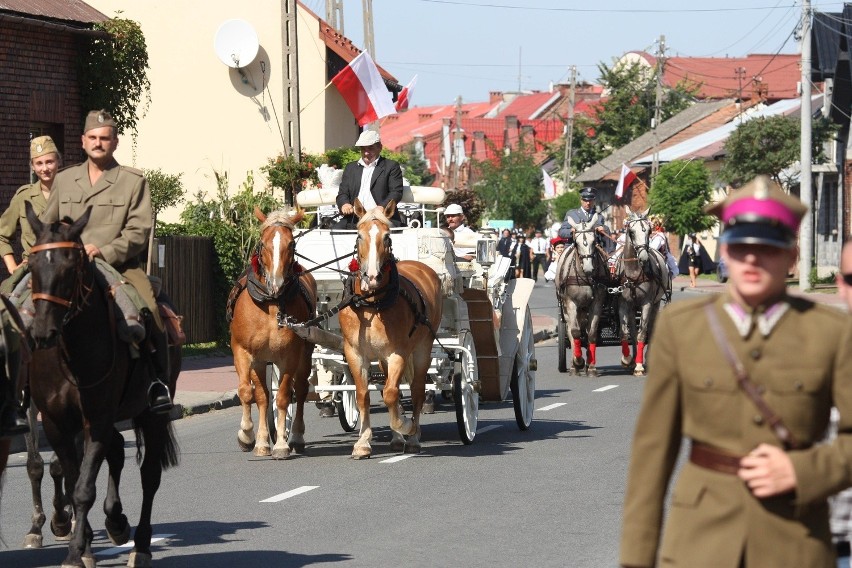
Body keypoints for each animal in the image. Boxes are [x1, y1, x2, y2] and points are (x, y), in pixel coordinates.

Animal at [25, 204, 181, 568]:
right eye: (32, 265)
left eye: (71, 267)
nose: (42, 332)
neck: (70, 350)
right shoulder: (54, 422)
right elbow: (70, 479)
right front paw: (81, 546)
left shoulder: (95, 418)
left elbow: (84, 488)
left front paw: (73, 553)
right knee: (117, 453)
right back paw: (116, 522)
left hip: (152, 414)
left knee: (149, 475)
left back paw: (140, 545)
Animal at [230, 206, 316, 460]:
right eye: (263, 242)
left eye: (291, 243)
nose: (276, 282)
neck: (270, 302)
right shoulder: (244, 352)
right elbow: (250, 393)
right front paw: (249, 436)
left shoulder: (290, 356)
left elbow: (284, 397)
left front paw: (280, 445)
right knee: (264, 396)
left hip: (305, 355)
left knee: (300, 390)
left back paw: (295, 436)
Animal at [340, 199, 446, 458]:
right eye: (359, 236)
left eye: (387, 237)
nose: (372, 277)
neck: (371, 304)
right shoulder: (355, 353)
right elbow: (363, 395)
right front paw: (363, 442)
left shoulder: (398, 353)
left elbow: (390, 393)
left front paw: (405, 425)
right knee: (392, 387)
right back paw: (398, 438)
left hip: (422, 349)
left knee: (416, 389)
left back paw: (413, 436)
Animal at [556, 215, 608, 374]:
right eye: (577, 243)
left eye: (594, 241)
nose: (589, 268)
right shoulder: (571, 303)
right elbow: (575, 332)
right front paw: (578, 362)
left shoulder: (596, 303)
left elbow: (591, 333)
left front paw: (591, 366)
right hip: (567, 308)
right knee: (571, 331)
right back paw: (575, 364)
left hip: (583, 309)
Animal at [616, 209, 668, 378]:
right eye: (631, 232)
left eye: (649, 231)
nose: (644, 258)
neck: (633, 273)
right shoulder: (623, 302)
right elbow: (625, 332)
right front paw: (627, 359)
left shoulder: (647, 303)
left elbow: (642, 333)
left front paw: (639, 365)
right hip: (633, 306)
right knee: (633, 329)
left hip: (656, 303)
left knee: (650, 328)